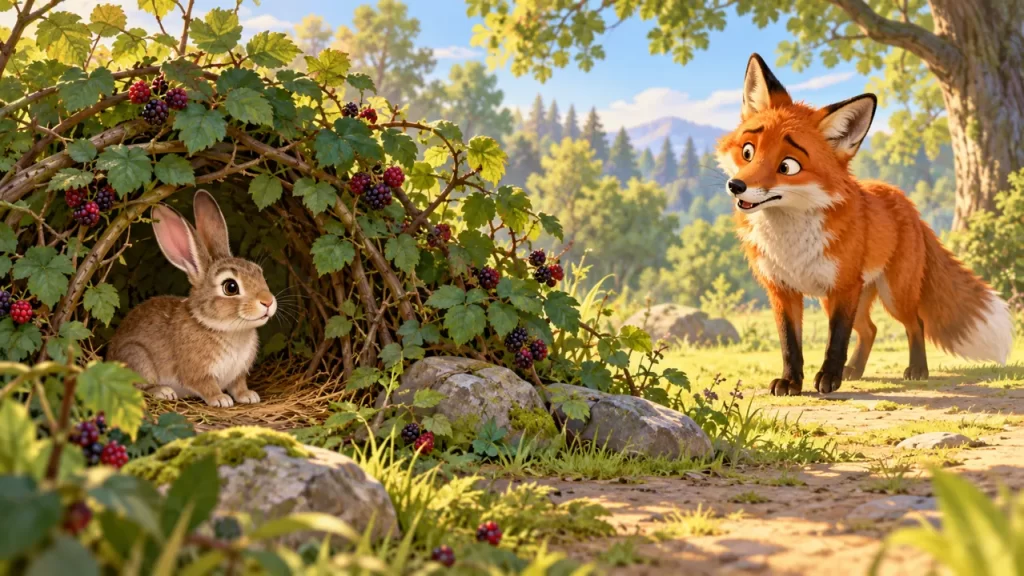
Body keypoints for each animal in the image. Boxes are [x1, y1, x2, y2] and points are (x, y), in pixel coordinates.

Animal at [107, 190, 277, 407]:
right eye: (230, 287)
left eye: (259, 272)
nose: (268, 302)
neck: (226, 328)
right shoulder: (197, 373)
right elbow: (205, 385)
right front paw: (221, 399)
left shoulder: (237, 374)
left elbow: (238, 385)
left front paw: (248, 396)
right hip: (137, 358)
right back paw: (163, 391)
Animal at [715, 53, 1013, 396]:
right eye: (748, 151)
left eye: (788, 166)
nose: (736, 186)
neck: (790, 241)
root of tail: (903, 199)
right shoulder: (782, 290)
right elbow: (790, 344)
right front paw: (791, 381)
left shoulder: (843, 288)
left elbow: (836, 340)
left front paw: (828, 378)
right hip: (847, 299)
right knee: (870, 330)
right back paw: (855, 370)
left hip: (893, 295)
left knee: (915, 323)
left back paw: (916, 369)